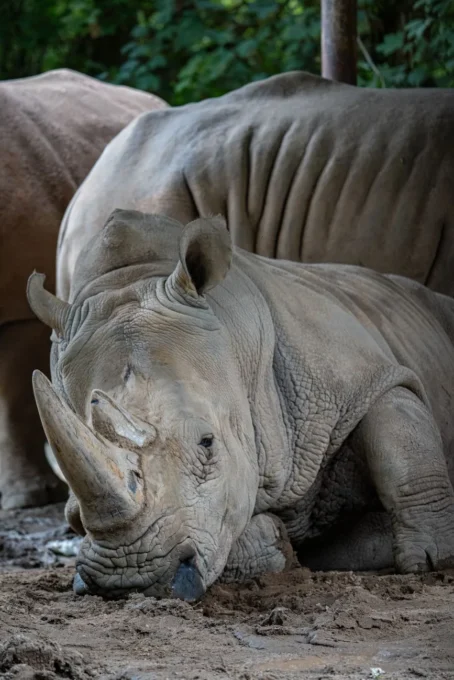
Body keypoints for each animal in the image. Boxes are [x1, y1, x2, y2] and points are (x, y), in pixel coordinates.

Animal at [27, 209, 454, 601]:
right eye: (72, 506)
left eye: (207, 443)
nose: (130, 580)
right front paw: (275, 544)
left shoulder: (363, 378)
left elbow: (402, 444)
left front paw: (434, 559)